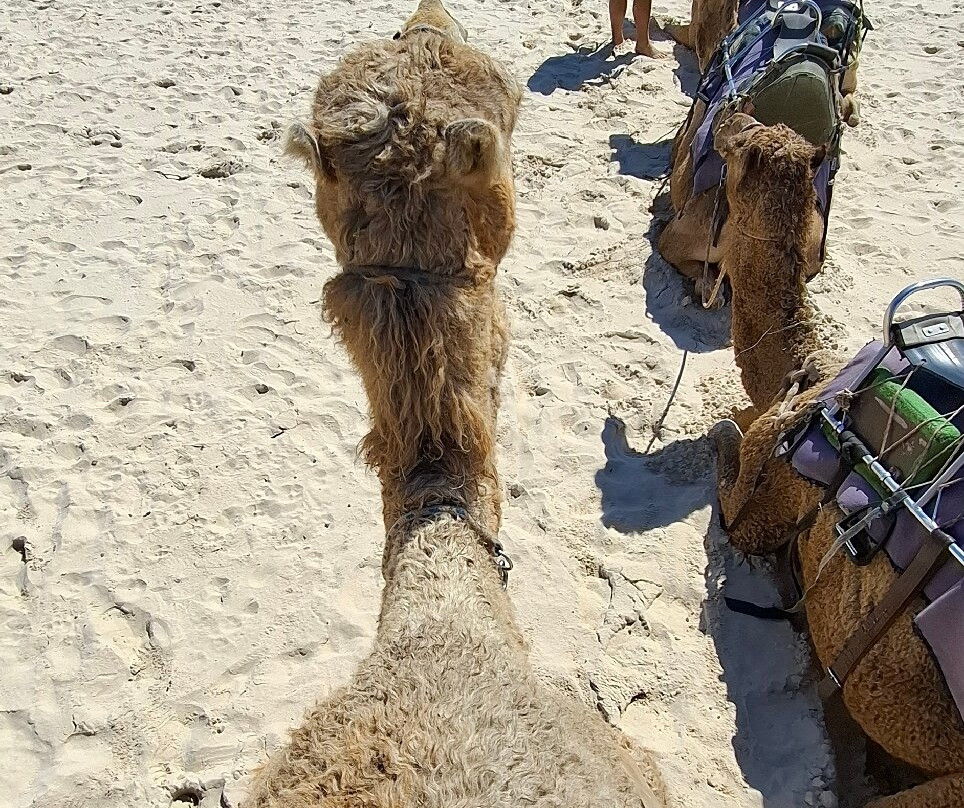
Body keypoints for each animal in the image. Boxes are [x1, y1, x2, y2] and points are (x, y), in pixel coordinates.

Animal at [704, 118, 964, 807]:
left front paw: (725, 427)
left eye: (746, 146)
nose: (730, 116)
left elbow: (731, 463)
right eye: (770, 130)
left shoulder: (765, 498)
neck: (807, 372)